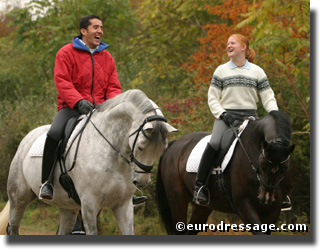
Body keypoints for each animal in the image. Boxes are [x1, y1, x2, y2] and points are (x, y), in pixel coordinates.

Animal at [0, 90, 176, 234]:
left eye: (162, 150)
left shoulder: (123, 205)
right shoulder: (90, 205)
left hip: (68, 208)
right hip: (19, 198)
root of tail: (27, 138)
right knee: (13, 227)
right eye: (140, 147)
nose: (142, 181)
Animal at [155, 111, 296, 234]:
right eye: (262, 166)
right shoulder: (243, 205)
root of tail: (174, 145)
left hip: (203, 208)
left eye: (284, 168)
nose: (266, 198)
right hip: (178, 201)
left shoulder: (273, 210)